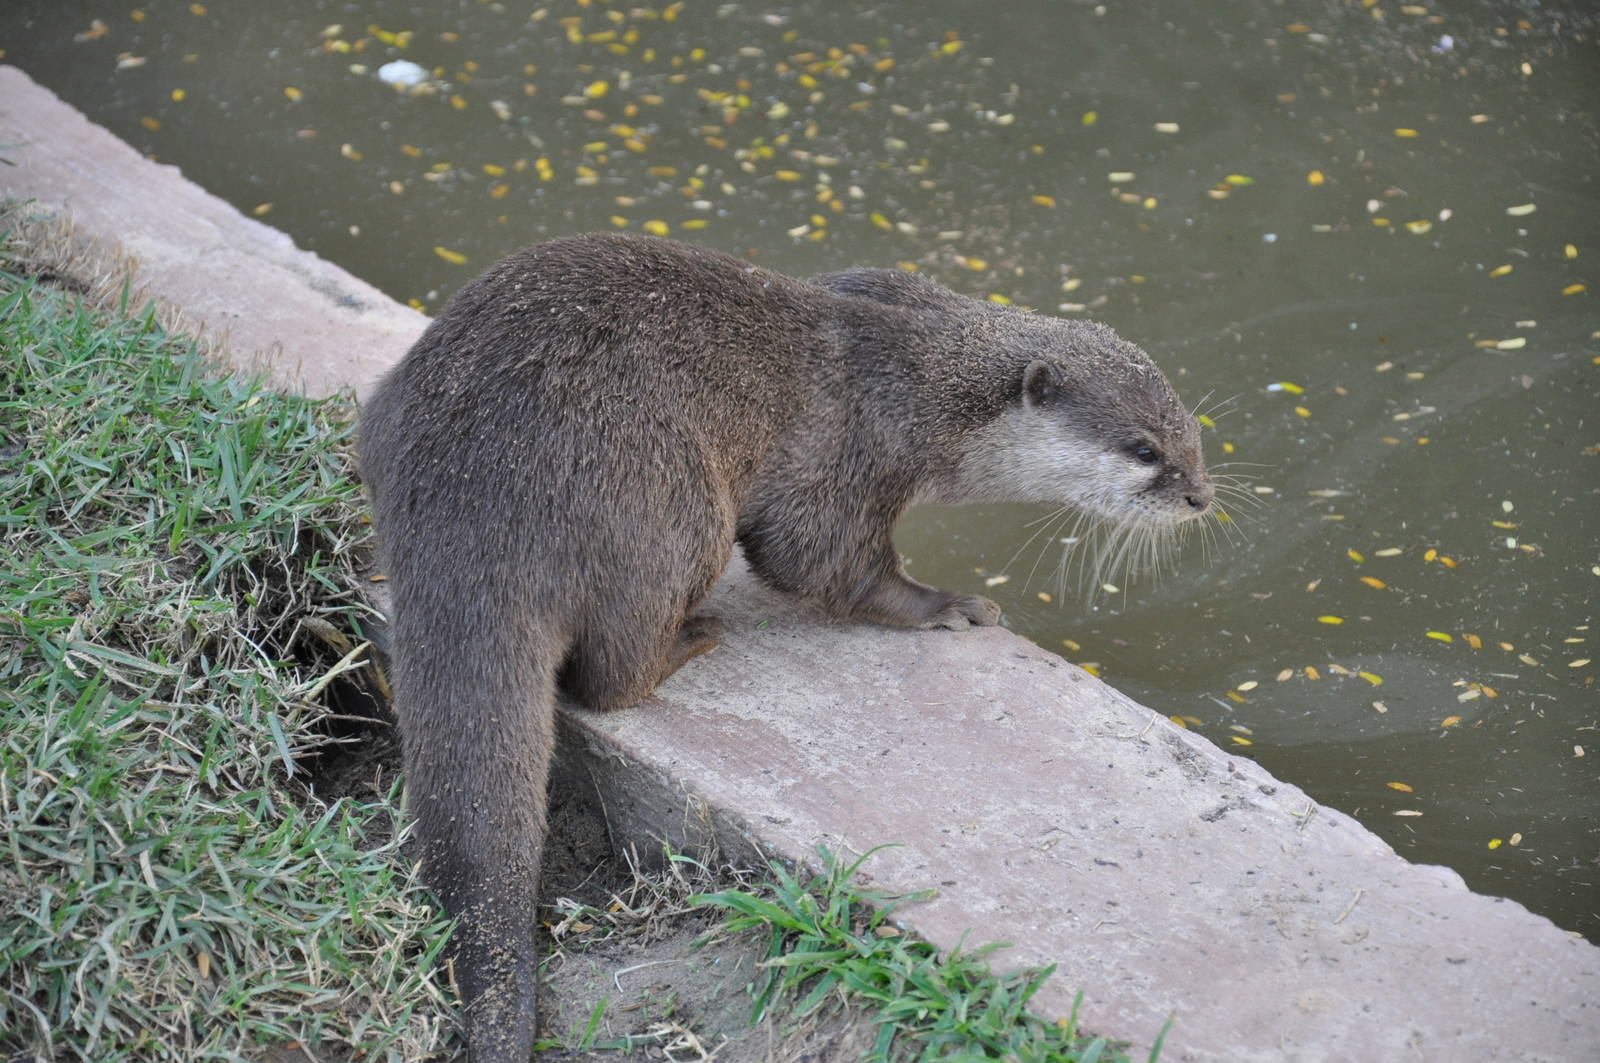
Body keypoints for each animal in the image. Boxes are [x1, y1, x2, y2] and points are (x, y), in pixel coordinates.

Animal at [357, 232, 1211, 1060]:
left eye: (1193, 433)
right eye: (1143, 449)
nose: (1201, 494)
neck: (934, 391)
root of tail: (470, 499)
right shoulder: (855, 444)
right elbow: (816, 554)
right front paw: (951, 606)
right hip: (665, 501)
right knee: (609, 676)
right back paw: (696, 635)